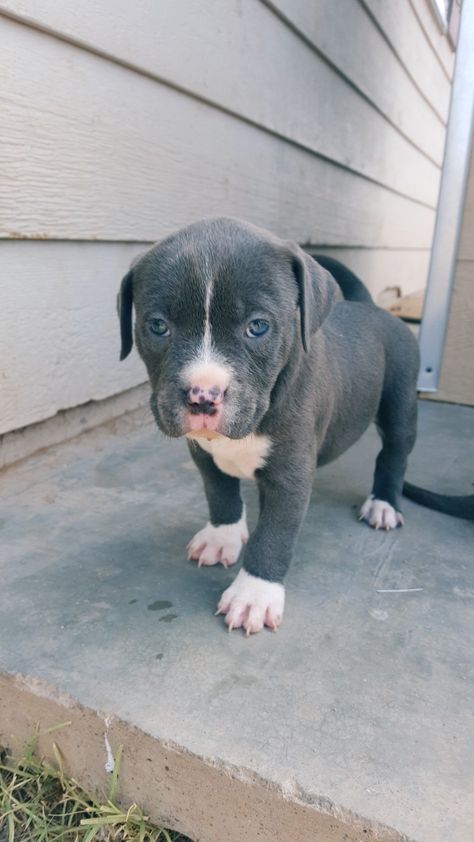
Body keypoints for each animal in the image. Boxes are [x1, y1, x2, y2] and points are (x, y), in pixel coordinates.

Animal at [117, 215, 418, 632]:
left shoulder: (290, 475)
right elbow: (220, 494)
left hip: (400, 402)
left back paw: (384, 503)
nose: (202, 396)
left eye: (258, 326)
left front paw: (254, 595)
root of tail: (373, 310)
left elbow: (274, 535)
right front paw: (222, 537)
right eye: (158, 326)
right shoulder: (203, 455)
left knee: (393, 453)